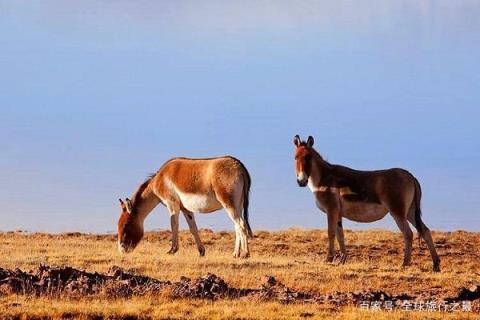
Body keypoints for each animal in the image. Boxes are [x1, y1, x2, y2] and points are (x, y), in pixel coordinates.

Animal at [117, 156, 253, 258]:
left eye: (126, 225)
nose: (122, 249)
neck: (160, 179)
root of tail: (239, 166)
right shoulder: (185, 209)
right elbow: (193, 228)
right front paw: (201, 251)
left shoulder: (172, 204)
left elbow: (174, 225)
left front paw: (172, 250)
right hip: (238, 205)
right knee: (237, 226)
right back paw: (235, 254)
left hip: (229, 204)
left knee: (241, 225)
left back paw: (245, 254)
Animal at [292, 134, 438, 272]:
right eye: (295, 157)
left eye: (308, 157)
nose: (301, 181)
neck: (323, 178)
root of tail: (411, 176)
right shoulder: (338, 214)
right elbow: (341, 235)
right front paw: (342, 260)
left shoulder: (331, 210)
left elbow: (331, 233)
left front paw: (328, 259)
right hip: (410, 212)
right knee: (425, 231)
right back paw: (436, 265)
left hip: (398, 212)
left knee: (408, 234)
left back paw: (405, 264)